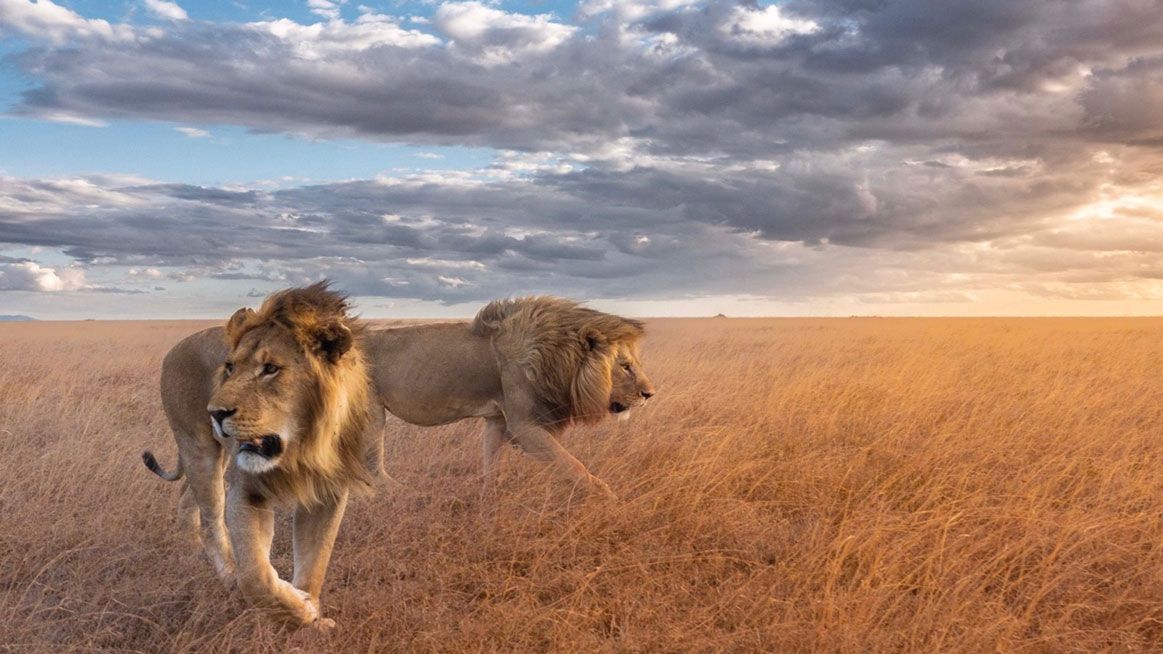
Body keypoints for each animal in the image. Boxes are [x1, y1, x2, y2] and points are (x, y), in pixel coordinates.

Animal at [141, 283, 383, 628]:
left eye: (270, 369)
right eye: (230, 367)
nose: (216, 413)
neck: (301, 448)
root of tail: (177, 346)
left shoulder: (330, 492)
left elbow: (316, 560)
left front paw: (312, 616)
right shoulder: (246, 490)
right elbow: (256, 577)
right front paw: (299, 606)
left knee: (187, 499)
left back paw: (191, 552)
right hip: (198, 450)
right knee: (211, 519)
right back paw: (227, 577)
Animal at [368, 295, 656, 499]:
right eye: (625, 366)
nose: (650, 394)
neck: (556, 357)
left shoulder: (497, 419)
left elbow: (491, 463)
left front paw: (488, 499)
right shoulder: (524, 424)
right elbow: (573, 466)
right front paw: (609, 499)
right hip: (371, 413)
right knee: (374, 470)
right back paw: (408, 496)